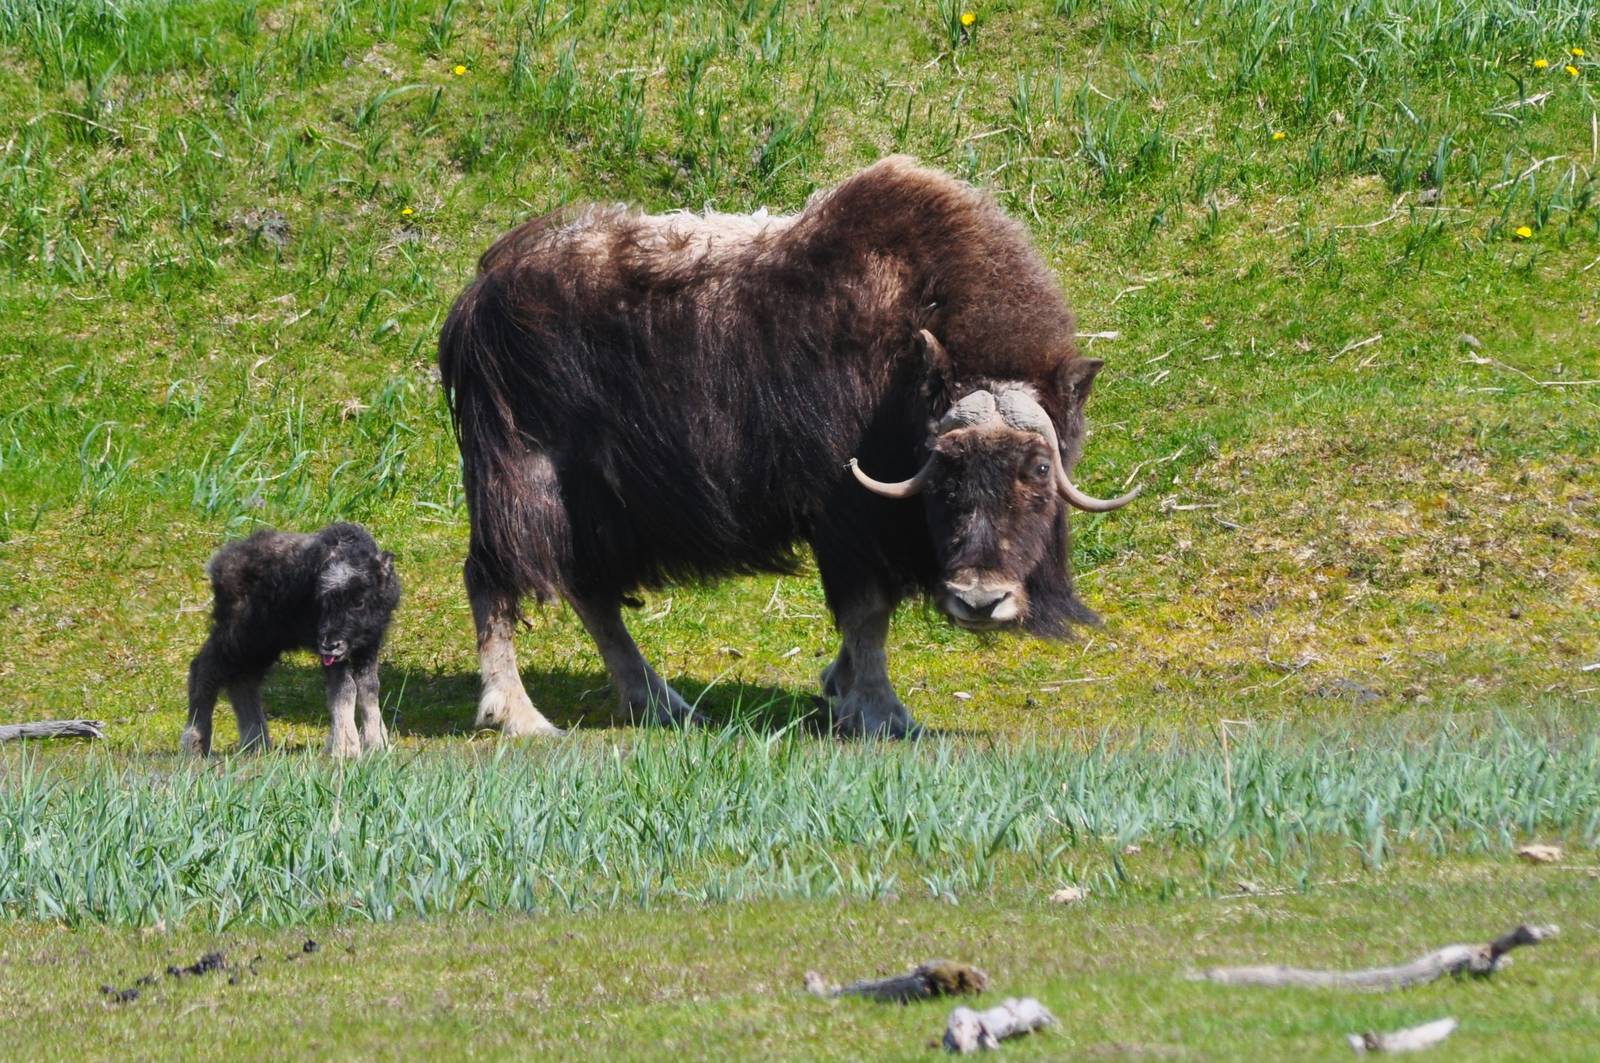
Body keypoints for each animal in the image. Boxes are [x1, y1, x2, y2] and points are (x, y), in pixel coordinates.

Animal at [437, 156, 1138, 738]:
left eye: (1039, 467)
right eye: (945, 467)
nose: (979, 601)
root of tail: (479, 295)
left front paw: (840, 686)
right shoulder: (848, 515)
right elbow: (868, 611)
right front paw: (882, 713)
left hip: (600, 509)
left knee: (591, 592)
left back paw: (662, 703)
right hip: (526, 480)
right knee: (494, 580)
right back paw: (521, 717)